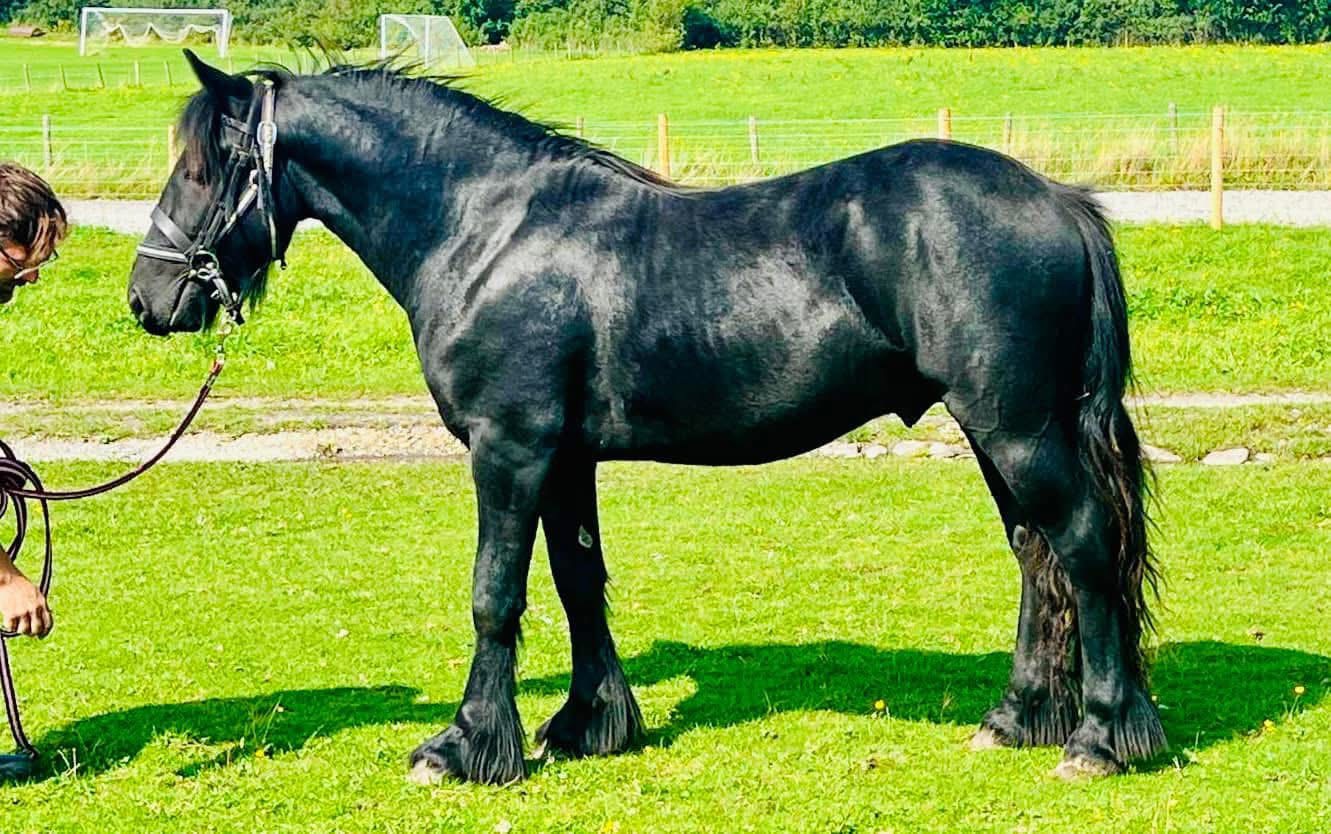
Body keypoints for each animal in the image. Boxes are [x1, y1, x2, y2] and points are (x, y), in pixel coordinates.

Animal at [127, 51, 1165, 784]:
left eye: (202, 170)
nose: (148, 299)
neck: (487, 230)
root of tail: (1060, 202)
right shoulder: (564, 458)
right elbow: (578, 583)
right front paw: (589, 725)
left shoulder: (509, 450)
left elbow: (495, 594)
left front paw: (465, 746)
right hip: (997, 429)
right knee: (1036, 554)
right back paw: (1016, 719)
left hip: (1016, 426)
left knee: (1080, 544)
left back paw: (1099, 738)